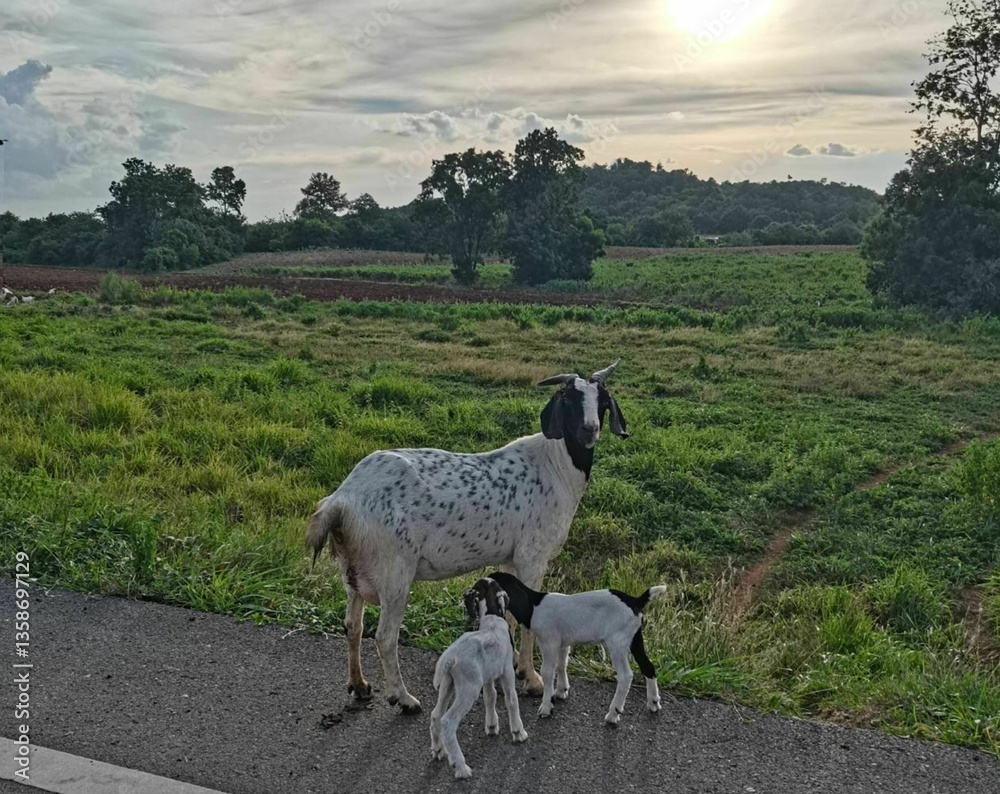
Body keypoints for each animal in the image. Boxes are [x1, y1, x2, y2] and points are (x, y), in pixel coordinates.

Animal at [306, 360, 628, 713]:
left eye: (603, 400)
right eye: (569, 399)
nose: (589, 430)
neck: (554, 465)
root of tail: (342, 501)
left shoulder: (511, 559)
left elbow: (511, 617)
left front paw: (511, 668)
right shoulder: (532, 555)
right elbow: (527, 619)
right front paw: (532, 680)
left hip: (353, 569)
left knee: (353, 625)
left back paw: (360, 685)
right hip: (394, 570)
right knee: (385, 636)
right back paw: (403, 698)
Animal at [430, 578, 527, 779]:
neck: (492, 618)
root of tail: (451, 656)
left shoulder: (488, 676)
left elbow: (490, 697)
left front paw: (491, 726)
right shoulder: (507, 671)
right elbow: (511, 700)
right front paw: (518, 732)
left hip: (448, 683)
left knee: (435, 715)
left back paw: (438, 750)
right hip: (469, 687)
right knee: (447, 721)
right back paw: (461, 767)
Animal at [487, 571, 665, 726]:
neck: (533, 605)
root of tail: (636, 601)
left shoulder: (549, 642)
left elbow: (547, 672)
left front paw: (546, 707)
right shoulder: (563, 642)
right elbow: (561, 664)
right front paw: (561, 692)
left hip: (617, 642)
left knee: (626, 676)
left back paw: (612, 715)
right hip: (635, 638)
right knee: (648, 666)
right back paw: (654, 703)